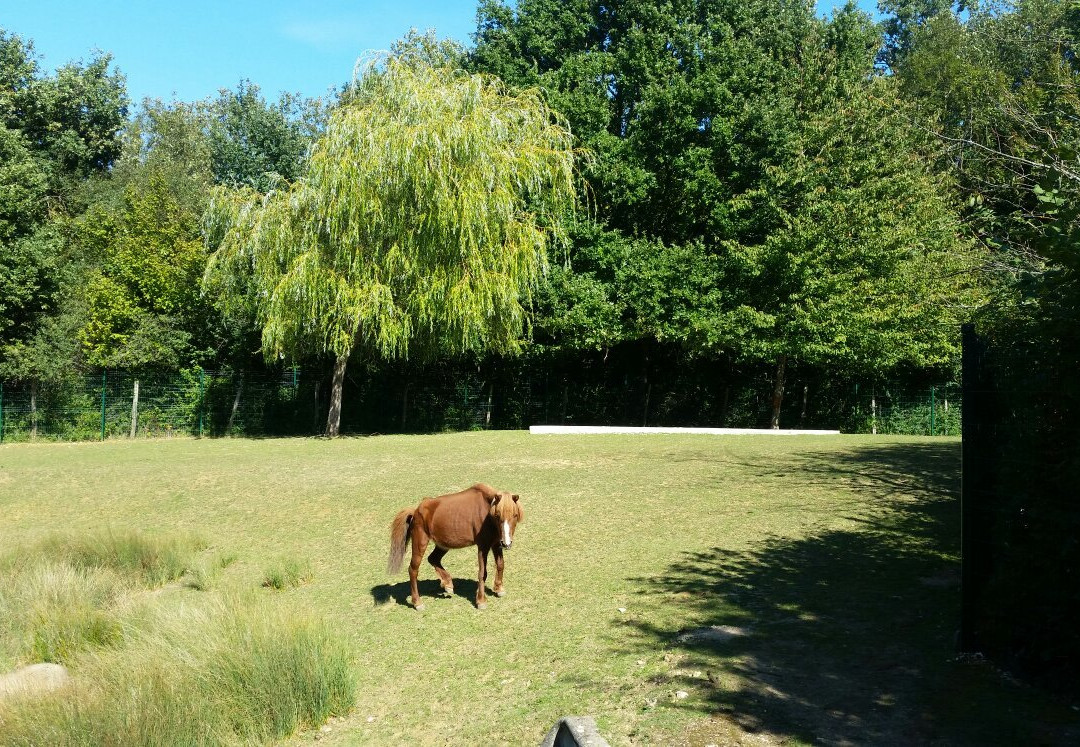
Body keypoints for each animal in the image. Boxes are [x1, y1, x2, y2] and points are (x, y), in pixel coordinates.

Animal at [388, 483, 522, 613]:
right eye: (497, 515)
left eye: (515, 515)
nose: (506, 543)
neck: (486, 514)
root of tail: (415, 511)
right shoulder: (483, 547)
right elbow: (482, 573)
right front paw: (481, 601)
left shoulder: (495, 544)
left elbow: (500, 565)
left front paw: (499, 588)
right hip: (420, 543)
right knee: (413, 570)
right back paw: (417, 602)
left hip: (443, 545)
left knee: (433, 559)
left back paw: (447, 583)